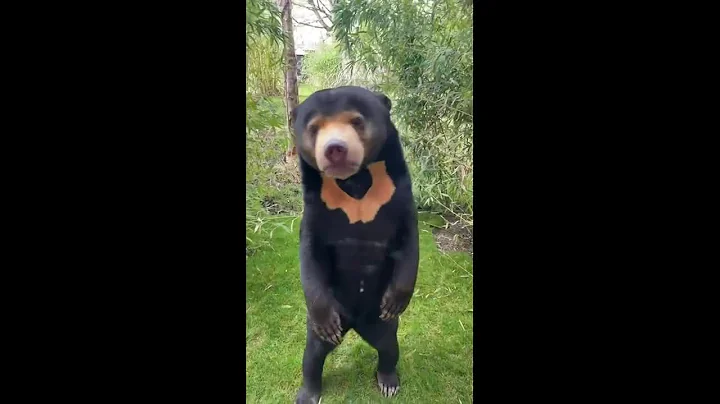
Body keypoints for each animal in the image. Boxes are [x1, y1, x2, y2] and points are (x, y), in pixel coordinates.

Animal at [291, 86, 420, 403]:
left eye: (357, 121)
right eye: (314, 128)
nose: (335, 149)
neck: (355, 182)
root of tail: (358, 324)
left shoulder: (399, 197)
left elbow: (408, 242)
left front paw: (396, 300)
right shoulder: (315, 208)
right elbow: (309, 254)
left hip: (382, 325)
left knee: (389, 348)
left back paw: (388, 381)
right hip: (331, 320)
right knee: (313, 355)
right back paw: (308, 392)